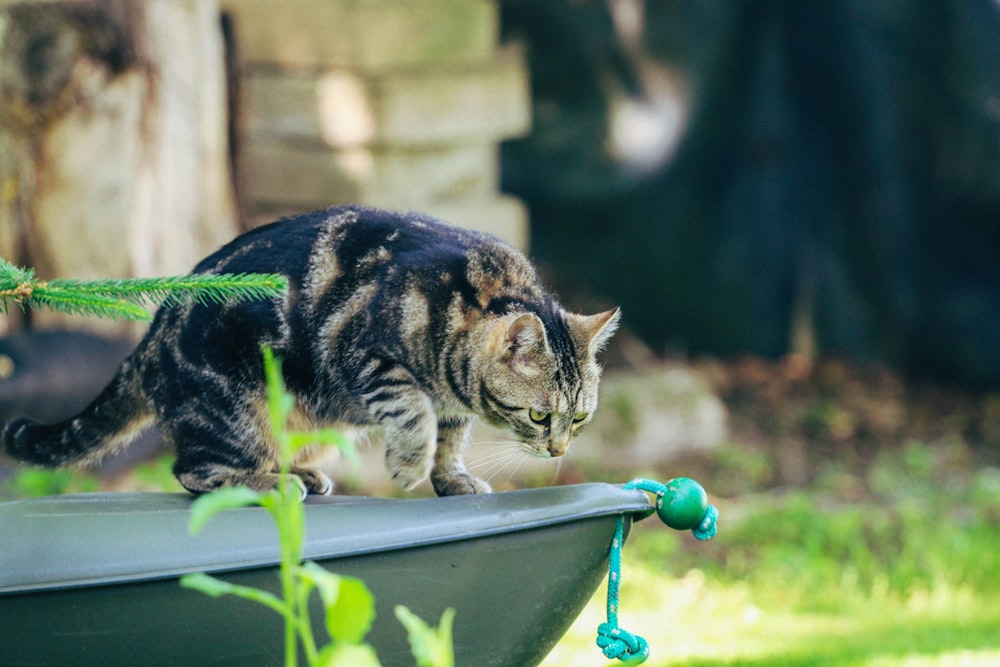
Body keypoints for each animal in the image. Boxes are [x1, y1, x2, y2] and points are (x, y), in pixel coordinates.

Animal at [1, 206, 616, 498]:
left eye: (580, 419)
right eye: (539, 415)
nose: (559, 450)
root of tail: (149, 340)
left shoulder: (452, 402)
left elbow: (450, 439)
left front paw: (450, 478)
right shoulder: (365, 354)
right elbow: (414, 415)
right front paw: (410, 466)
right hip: (239, 410)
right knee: (194, 470)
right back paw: (270, 482)